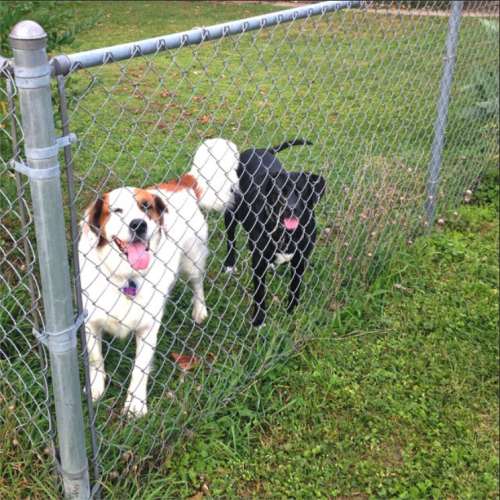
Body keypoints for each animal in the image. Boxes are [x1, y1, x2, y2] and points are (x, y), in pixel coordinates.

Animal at [79, 139, 239, 416]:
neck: (125, 276)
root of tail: (180, 183)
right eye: (117, 210)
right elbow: (96, 359)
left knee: (198, 284)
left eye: (146, 207)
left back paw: (200, 310)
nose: (138, 224)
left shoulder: (148, 325)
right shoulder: (90, 321)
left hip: (192, 261)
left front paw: (135, 404)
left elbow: (140, 368)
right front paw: (96, 389)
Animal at [224, 141, 326, 328]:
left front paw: (292, 310)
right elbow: (259, 292)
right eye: (279, 191)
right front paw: (259, 319)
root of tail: (259, 150)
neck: (286, 233)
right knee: (231, 239)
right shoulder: (259, 263)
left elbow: (295, 287)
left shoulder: (301, 259)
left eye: (302, 190)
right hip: (232, 210)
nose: (291, 208)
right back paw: (229, 263)